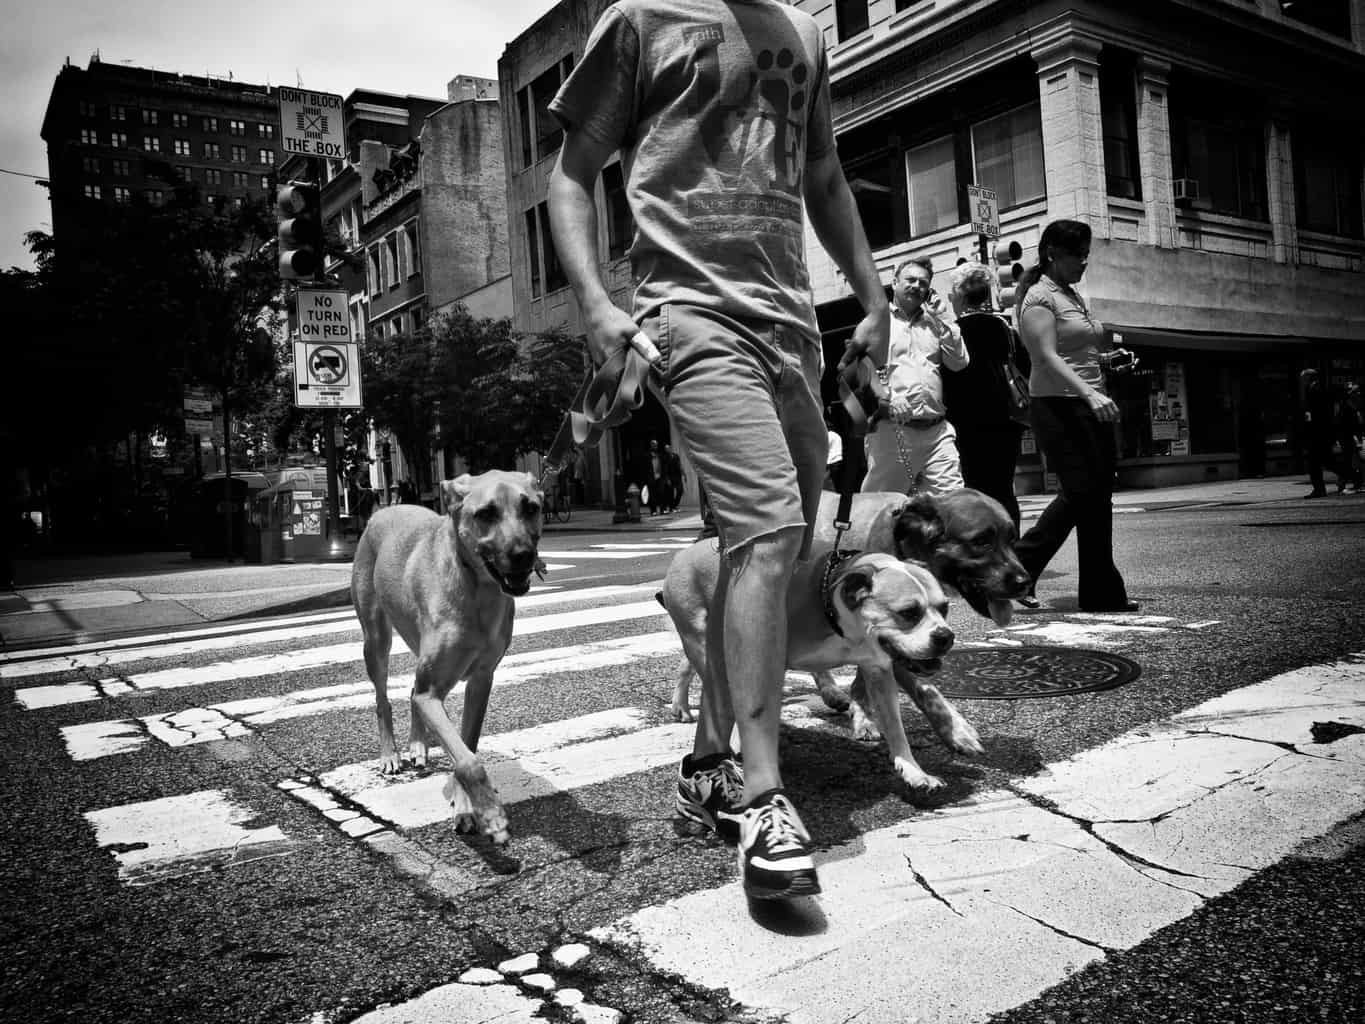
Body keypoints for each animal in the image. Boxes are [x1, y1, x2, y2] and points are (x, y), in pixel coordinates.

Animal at [346, 469, 543, 846]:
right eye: (485, 513)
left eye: (531, 508)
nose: (524, 555)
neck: (477, 590)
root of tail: (382, 510)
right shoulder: (433, 691)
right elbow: (469, 762)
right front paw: (492, 815)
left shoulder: (479, 681)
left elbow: (466, 748)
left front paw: (467, 806)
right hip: (376, 640)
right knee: (383, 698)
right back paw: (390, 754)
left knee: (411, 692)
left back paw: (418, 747)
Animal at [663, 546, 971, 791]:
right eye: (908, 613)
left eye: (945, 608)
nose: (945, 636)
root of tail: (683, 553)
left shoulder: (879, 669)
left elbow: (895, 726)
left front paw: (913, 770)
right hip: (701, 635)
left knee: (687, 666)